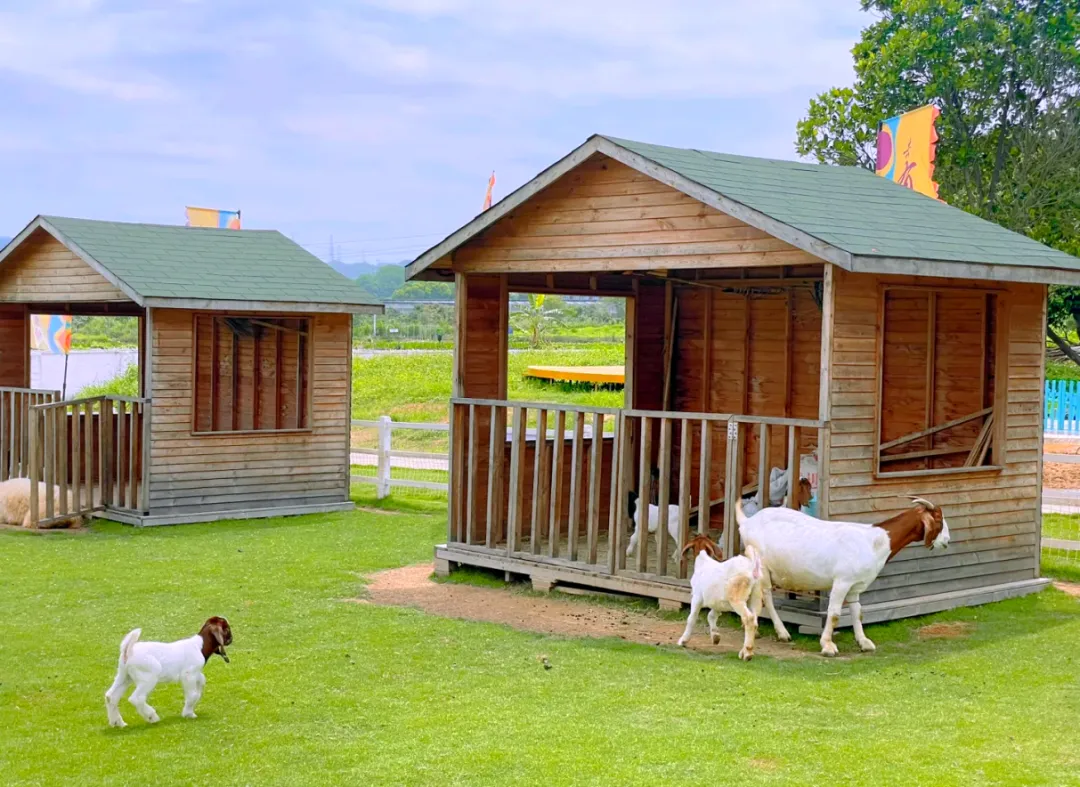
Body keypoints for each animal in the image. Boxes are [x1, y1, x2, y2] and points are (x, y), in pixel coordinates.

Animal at [736, 497, 949, 656]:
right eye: (938, 520)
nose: (947, 541)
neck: (874, 541)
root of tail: (747, 522)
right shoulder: (842, 581)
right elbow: (835, 613)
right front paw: (827, 645)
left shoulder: (855, 586)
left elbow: (857, 611)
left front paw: (864, 642)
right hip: (762, 567)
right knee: (766, 597)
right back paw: (782, 633)